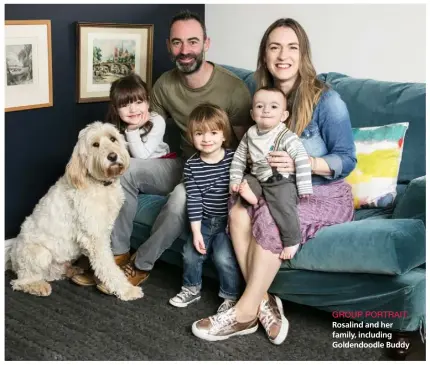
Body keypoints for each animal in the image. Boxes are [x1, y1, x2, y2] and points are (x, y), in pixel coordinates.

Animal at [9, 121, 143, 300]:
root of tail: (12, 257)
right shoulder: (95, 237)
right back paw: (37, 286)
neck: (100, 184)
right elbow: (107, 265)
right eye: (95, 144)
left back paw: (72, 270)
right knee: (20, 281)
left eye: (113, 138)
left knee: (53, 274)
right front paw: (127, 290)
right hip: (38, 254)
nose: (112, 156)